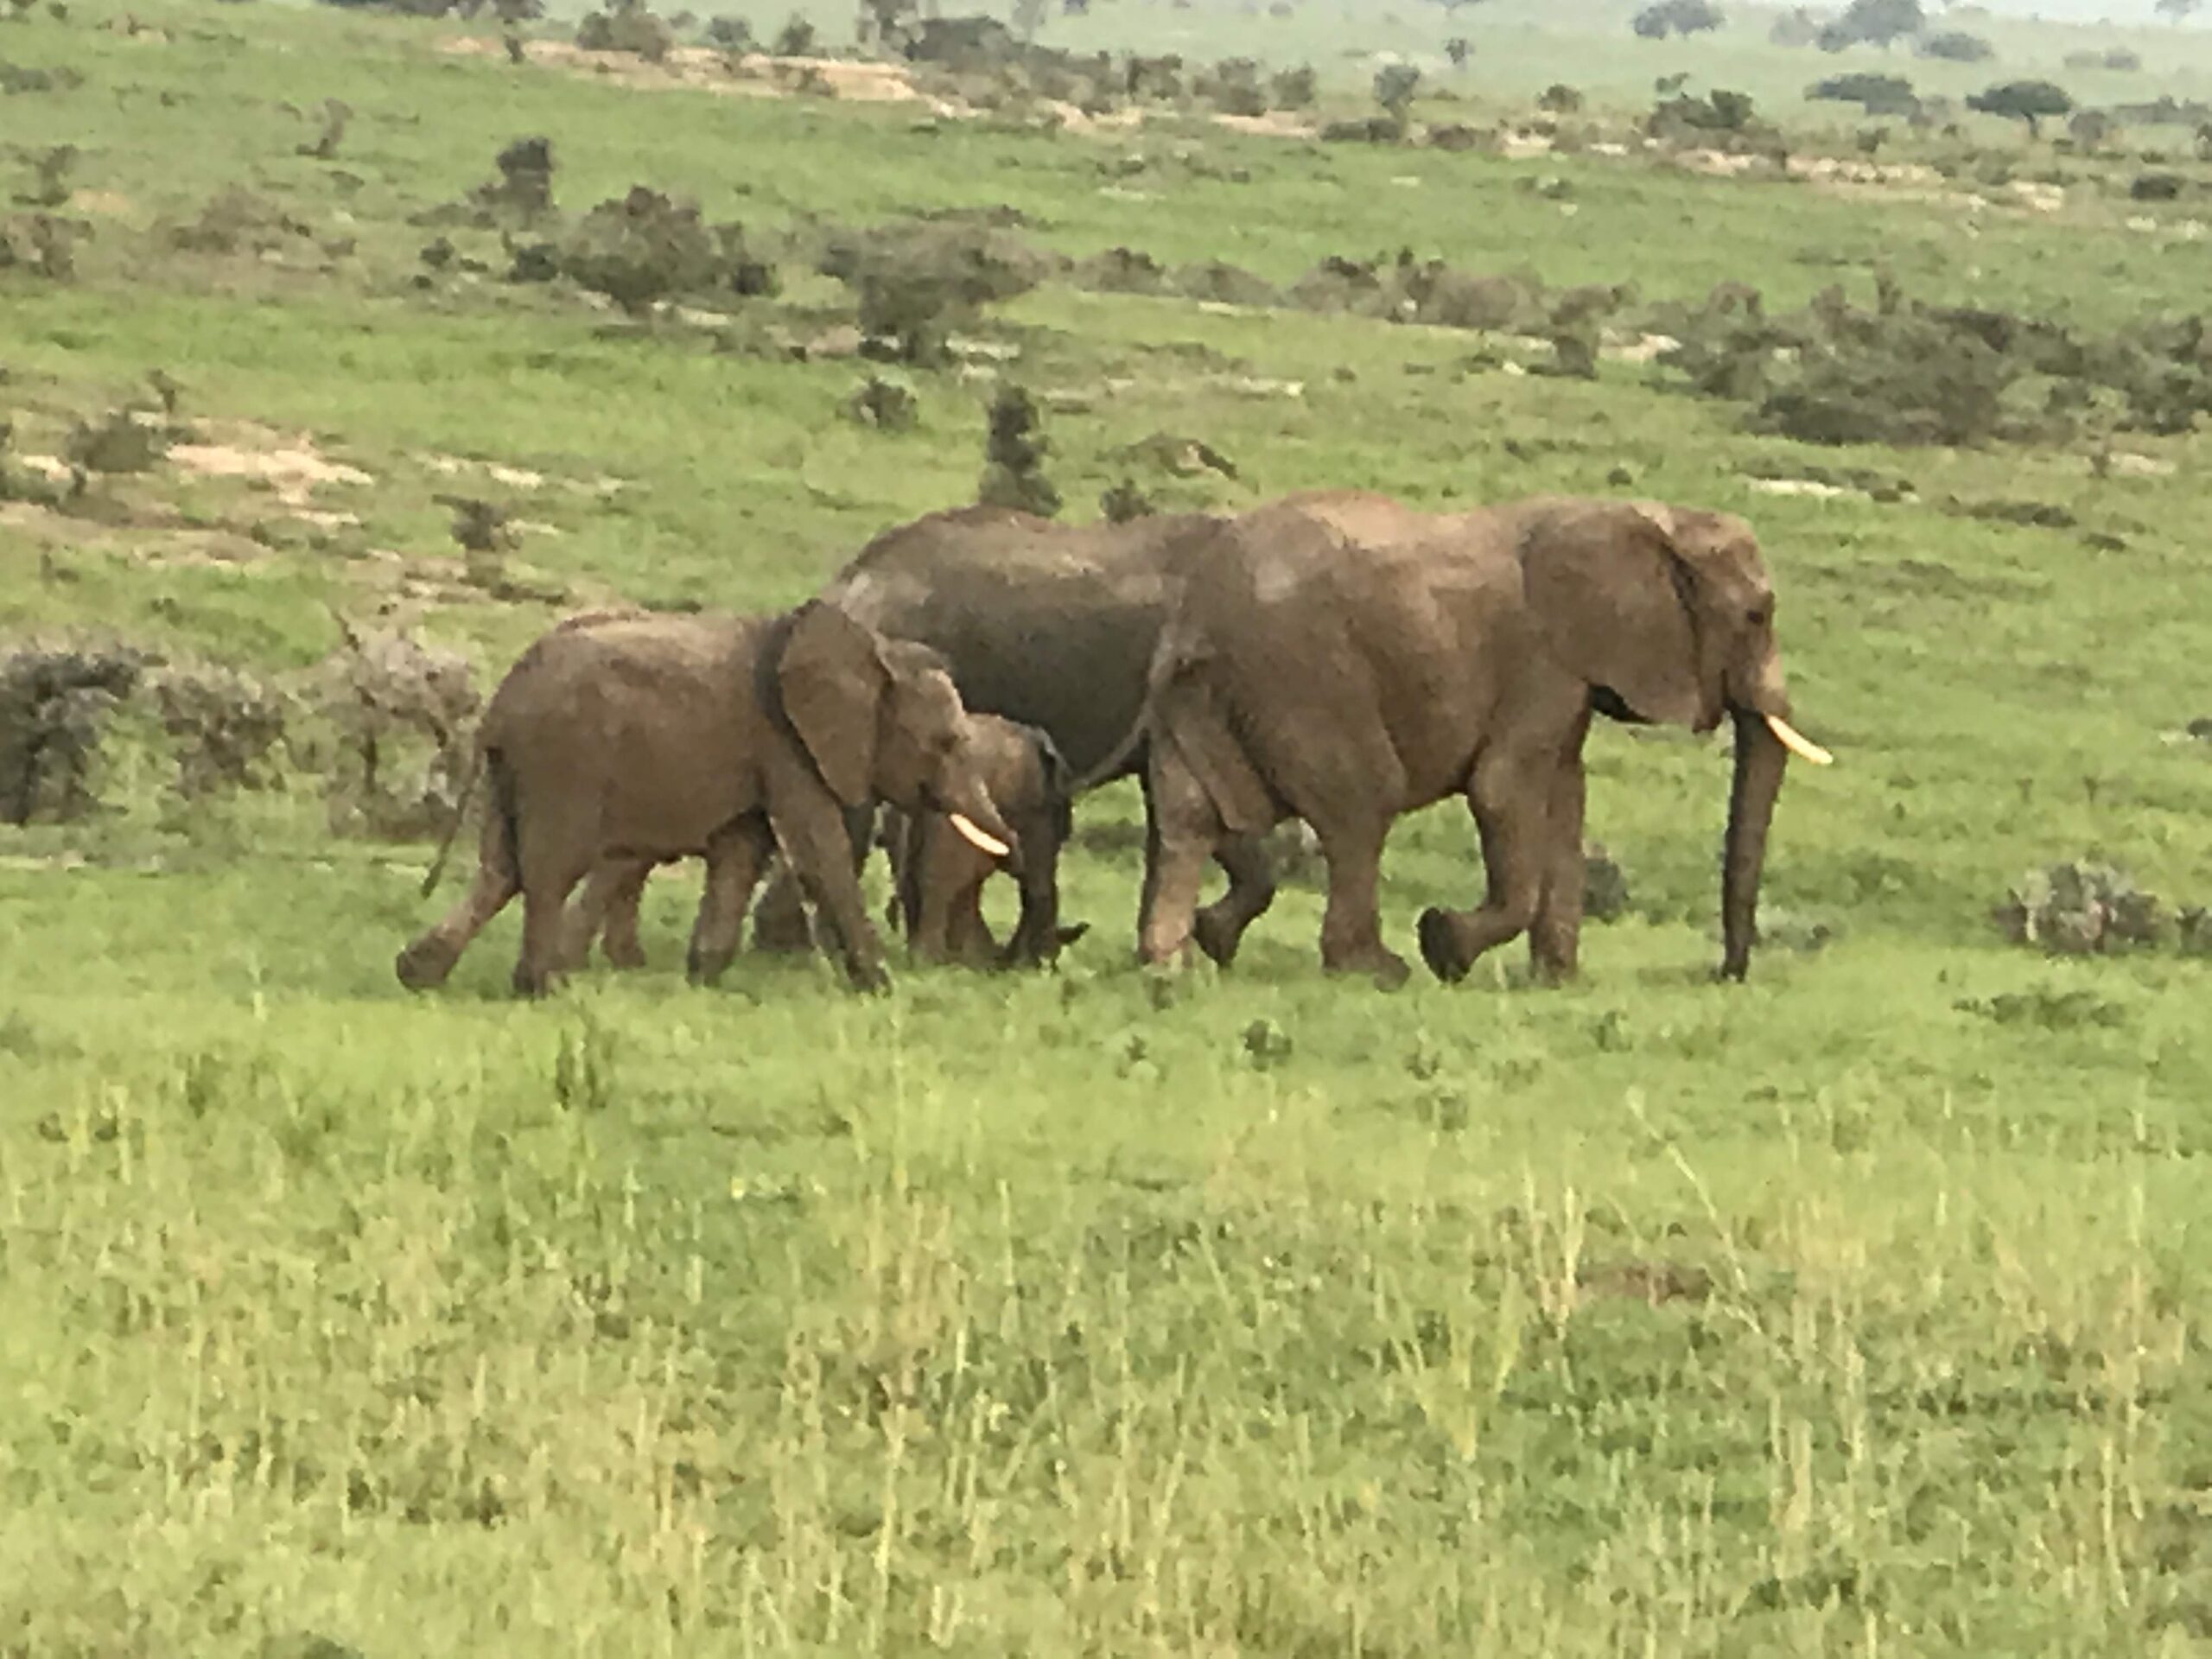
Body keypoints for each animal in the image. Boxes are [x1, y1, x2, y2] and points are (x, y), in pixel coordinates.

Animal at [393, 601, 1021, 997]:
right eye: (947, 742)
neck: (872, 649)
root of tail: (502, 698)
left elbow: (741, 851)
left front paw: (703, 978)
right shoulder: (785, 741)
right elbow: (819, 850)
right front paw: (881, 988)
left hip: (518, 768)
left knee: (501, 869)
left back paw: (418, 974)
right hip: (564, 760)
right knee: (549, 868)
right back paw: (542, 988)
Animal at [1129, 491, 1833, 986]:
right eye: (1756, 616)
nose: (1725, 975)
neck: (1651, 519)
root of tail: (1202, 616)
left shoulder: (1569, 674)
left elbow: (1565, 800)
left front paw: (1557, 982)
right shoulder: (1543, 662)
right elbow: (1503, 792)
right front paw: (1445, 946)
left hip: (1190, 698)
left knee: (1188, 815)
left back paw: (1183, 959)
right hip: (1308, 682)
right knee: (1361, 811)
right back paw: (1376, 971)